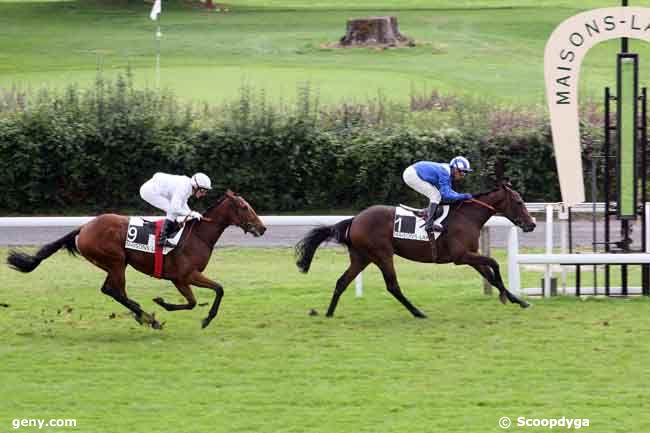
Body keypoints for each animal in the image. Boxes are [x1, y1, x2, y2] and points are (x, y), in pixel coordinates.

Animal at [7, 191, 266, 330]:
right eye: (244, 207)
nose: (262, 228)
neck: (198, 235)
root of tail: (84, 227)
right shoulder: (185, 275)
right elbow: (216, 290)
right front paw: (204, 318)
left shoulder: (180, 279)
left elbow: (194, 301)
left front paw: (164, 303)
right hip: (116, 261)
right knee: (115, 291)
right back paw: (148, 318)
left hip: (114, 264)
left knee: (111, 290)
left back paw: (144, 315)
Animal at [296, 182, 536, 318]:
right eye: (518, 201)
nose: (532, 224)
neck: (467, 217)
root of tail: (355, 219)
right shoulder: (461, 256)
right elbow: (494, 264)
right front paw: (507, 297)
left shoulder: (470, 257)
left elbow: (491, 277)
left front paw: (519, 301)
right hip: (382, 254)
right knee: (392, 286)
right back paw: (418, 312)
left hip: (361, 258)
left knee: (342, 282)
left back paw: (328, 313)